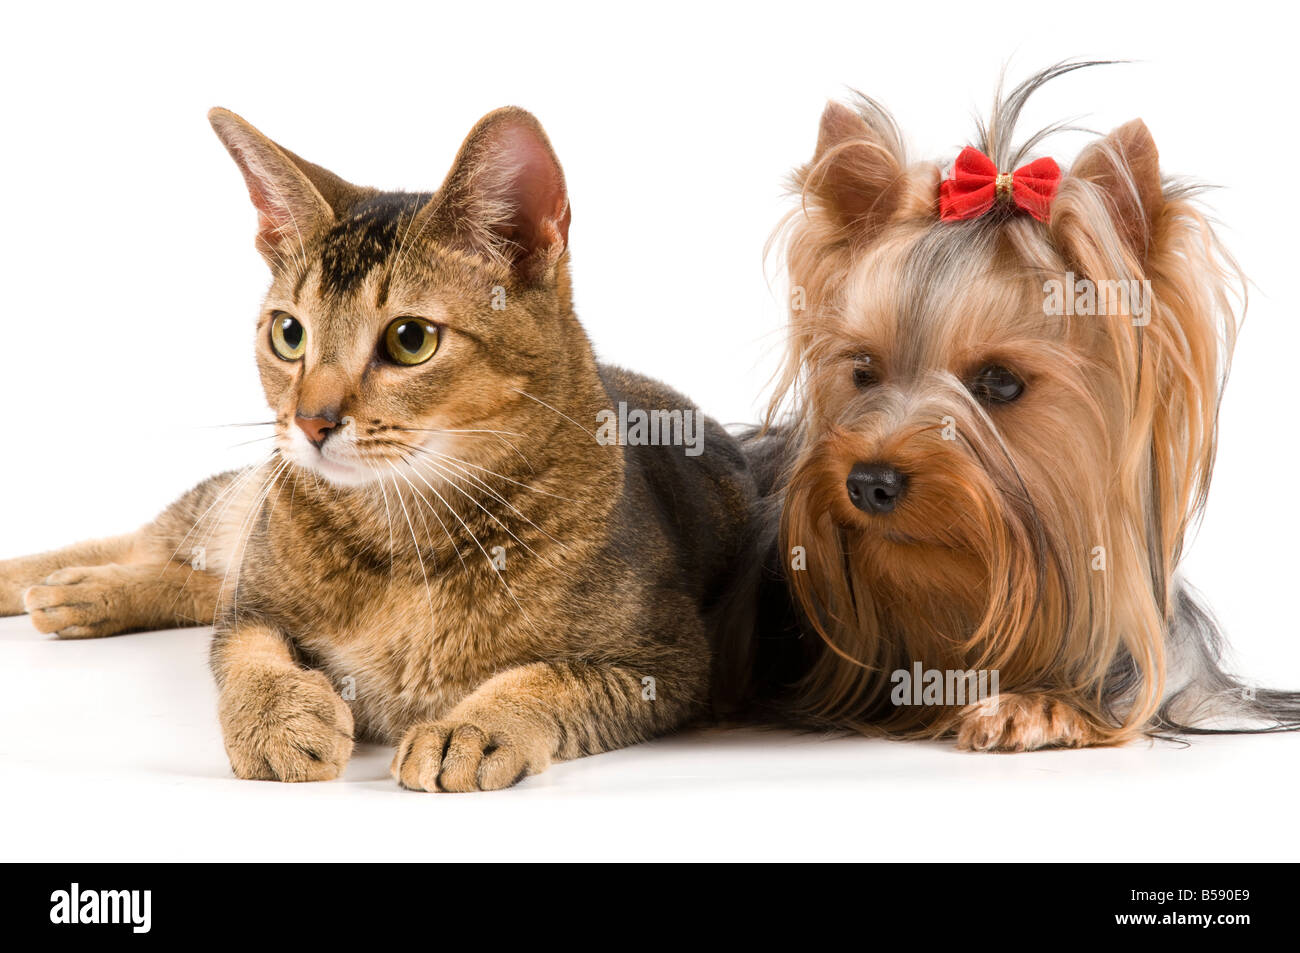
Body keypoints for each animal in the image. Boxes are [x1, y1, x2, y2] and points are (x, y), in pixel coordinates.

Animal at [0, 102, 754, 790]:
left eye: (410, 339)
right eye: (288, 334)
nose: (311, 422)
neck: (405, 537)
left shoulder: (668, 662)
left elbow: (549, 680)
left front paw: (469, 729)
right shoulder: (254, 610)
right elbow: (246, 649)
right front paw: (277, 720)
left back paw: (76, 595)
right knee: (179, 543)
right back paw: (56, 580)